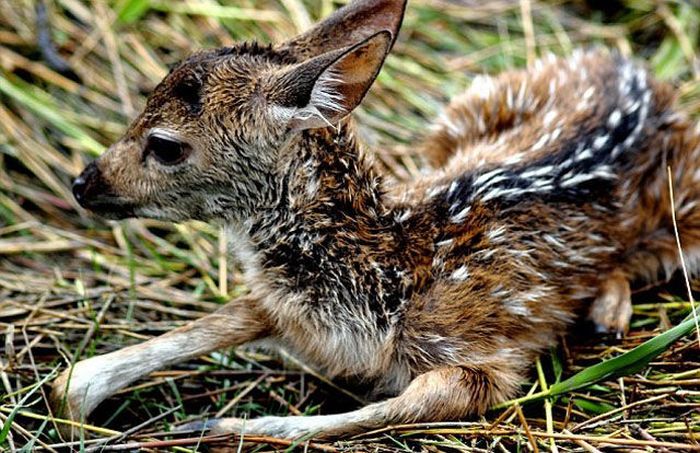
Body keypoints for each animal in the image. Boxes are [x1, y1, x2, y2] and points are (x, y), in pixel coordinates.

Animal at [56, 0, 700, 440]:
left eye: (166, 146)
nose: (83, 183)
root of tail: (638, 70)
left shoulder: (483, 357)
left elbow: (395, 407)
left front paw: (215, 428)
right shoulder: (283, 306)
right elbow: (207, 325)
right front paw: (74, 398)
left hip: (687, 217)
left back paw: (607, 315)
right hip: (456, 119)